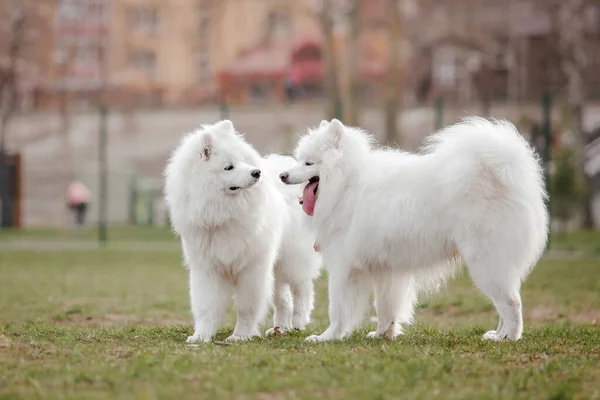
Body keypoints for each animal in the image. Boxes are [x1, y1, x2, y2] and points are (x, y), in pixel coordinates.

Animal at [164, 120, 322, 342]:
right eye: (229, 167)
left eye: (243, 161)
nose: (256, 172)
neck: (223, 214)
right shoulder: (207, 269)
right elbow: (206, 307)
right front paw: (201, 336)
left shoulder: (252, 268)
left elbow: (246, 307)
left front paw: (240, 335)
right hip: (276, 265)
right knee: (283, 299)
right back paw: (280, 328)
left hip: (292, 259)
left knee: (303, 290)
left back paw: (298, 323)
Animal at [282, 118, 548, 340]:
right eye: (298, 159)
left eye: (309, 162)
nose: (282, 175)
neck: (346, 183)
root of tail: (501, 173)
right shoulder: (384, 269)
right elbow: (385, 307)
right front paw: (382, 334)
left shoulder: (343, 267)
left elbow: (337, 309)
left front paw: (327, 337)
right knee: (506, 303)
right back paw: (497, 334)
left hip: (486, 263)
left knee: (511, 303)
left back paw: (509, 337)